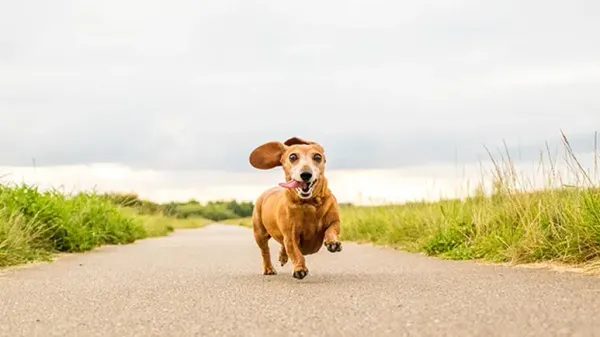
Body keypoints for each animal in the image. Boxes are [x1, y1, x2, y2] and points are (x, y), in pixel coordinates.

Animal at [247, 136, 342, 278]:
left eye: (317, 157)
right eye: (292, 156)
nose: (306, 174)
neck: (309, 203)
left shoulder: (334, 221)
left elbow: (331, 230)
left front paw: (333, 243)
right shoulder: (290, 235)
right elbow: (295, 252)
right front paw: (299, 268)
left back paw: (282, 256)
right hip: (259, 234)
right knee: (265, 251)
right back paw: (269, 268)